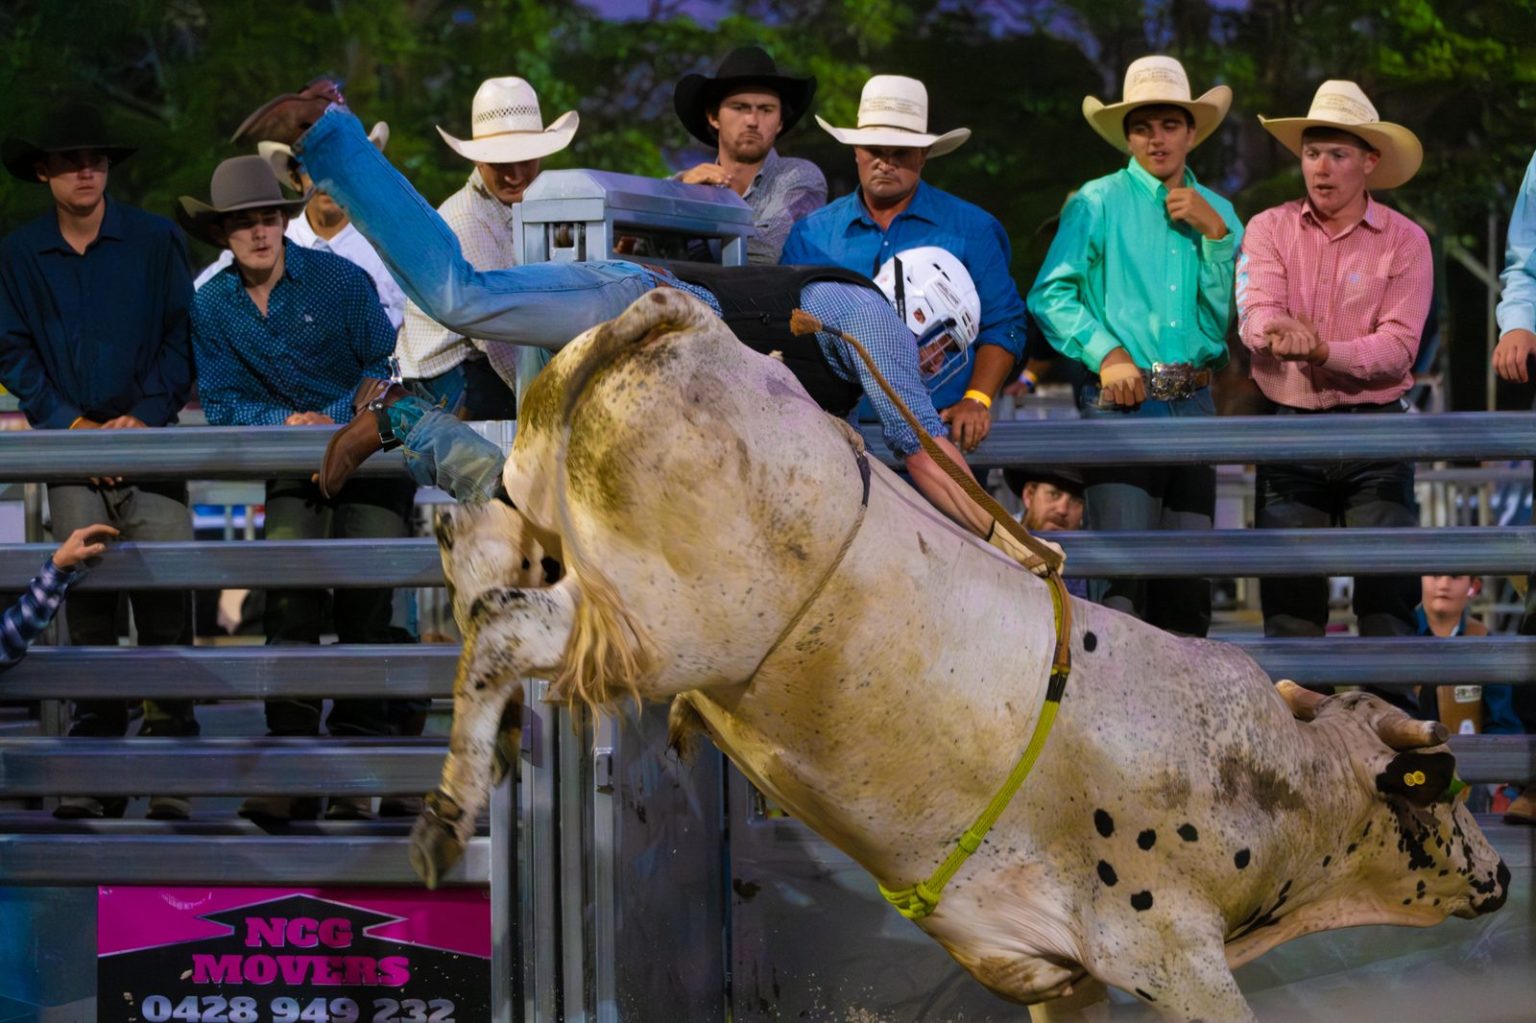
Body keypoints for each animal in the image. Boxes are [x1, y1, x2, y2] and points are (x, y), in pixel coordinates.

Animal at [410, 289, 1508, 1022]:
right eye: (1450, 791)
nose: (1500, 875)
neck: (1285, 782)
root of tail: (679, 318)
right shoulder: (1172, 951)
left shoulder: (1052, 971)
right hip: (662, 627)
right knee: (503, 624)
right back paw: (442, 820)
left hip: (555, 530)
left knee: (479, 565)